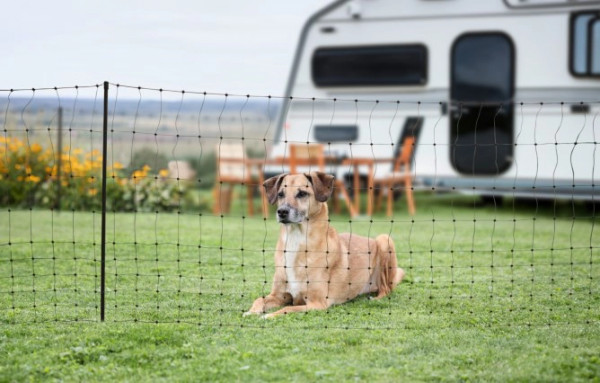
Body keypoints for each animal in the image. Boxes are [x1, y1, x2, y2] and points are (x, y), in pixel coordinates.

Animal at [243, 172, 404, 320]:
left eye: (302, 193)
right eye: (281, 194)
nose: (282, 211)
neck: (296, 240)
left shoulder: (317, 303)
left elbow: (287, 308)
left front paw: (268, 315)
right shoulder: (279, 295)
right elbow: (259, 299)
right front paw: (252, 311)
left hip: (385, 240)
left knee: (386, 289)